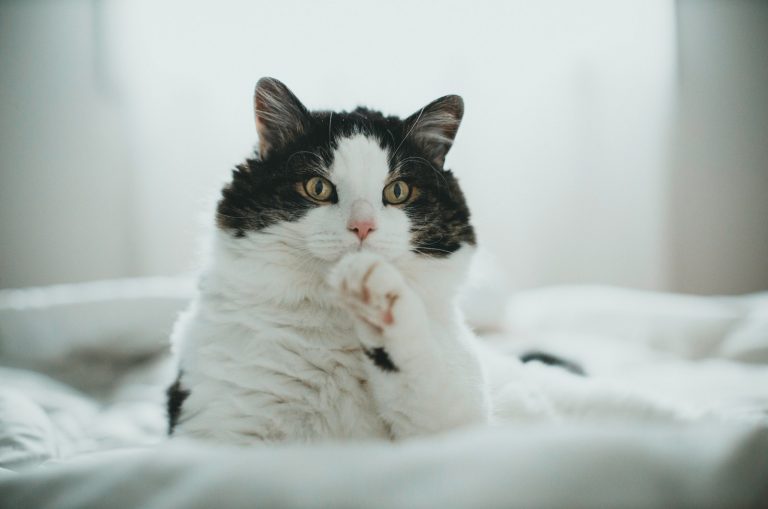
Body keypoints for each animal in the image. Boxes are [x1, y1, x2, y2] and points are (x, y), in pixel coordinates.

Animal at [168, 76, 492, 440]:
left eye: (398, 191)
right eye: (318, 187)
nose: (362, 225)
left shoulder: (456, 418)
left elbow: (423, 376)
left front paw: (377, 298)